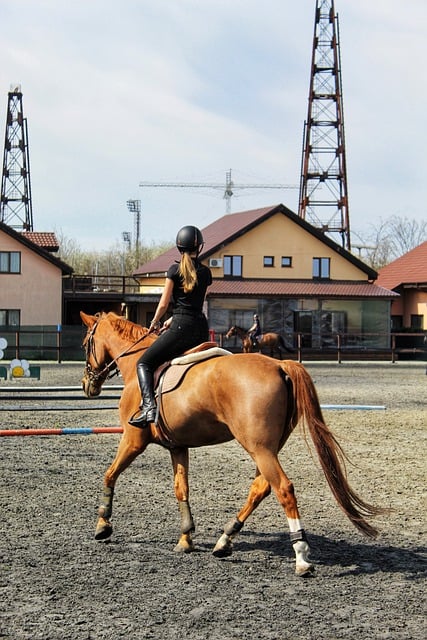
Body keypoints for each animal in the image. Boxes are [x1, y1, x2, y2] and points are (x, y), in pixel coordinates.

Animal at [81, 311, 385, 576]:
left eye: (86, 344)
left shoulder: (133, 440)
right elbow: (181, 489)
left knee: (283, 488)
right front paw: (185, 538)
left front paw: (102, 525)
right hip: (267, 448)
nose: (87, 385)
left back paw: (301, 557)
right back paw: (225, 541)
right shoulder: (177, 446)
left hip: (259, 447)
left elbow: (109, 474)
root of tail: (279, 365)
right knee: (261, 488)